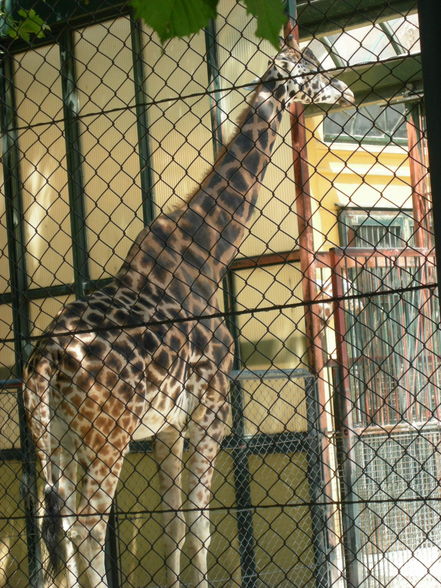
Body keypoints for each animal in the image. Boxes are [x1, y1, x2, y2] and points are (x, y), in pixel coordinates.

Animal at [24, 34, 354, 584]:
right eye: (312, 69)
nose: (346, 91)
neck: (206, 256)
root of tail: (44, 361)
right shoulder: (212, 403)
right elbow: (201, 525)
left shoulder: (168, 424)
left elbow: (173, 521)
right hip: (108, 433)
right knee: (90, 527)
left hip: (55, 436)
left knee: (57, 524)